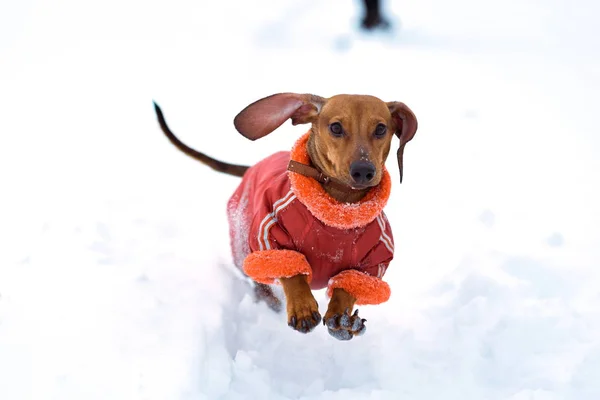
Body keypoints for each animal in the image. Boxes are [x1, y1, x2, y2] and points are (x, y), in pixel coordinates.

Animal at [155, 94, 418, 340]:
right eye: (335, 127)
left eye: (381, 129)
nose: (363, 171)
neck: (339, 213)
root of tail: (252, 167)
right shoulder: (270, 239)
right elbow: (292, 273)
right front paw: (301, 306)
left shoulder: (372, 264)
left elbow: (349, 286)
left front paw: (341, 319)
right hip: (244, 248)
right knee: (260, 283)